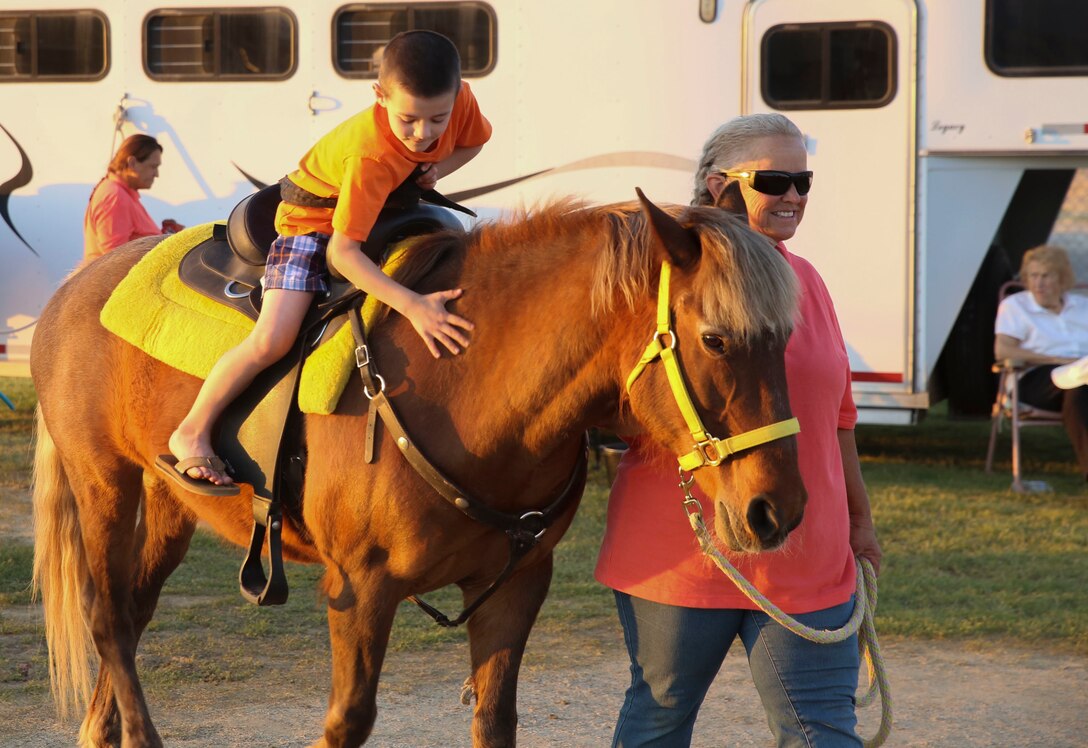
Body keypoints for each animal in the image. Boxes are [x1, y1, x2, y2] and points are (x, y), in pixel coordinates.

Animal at [29, 194, 809, 748]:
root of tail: (76, 283)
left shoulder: (515, 588)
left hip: (169, 499)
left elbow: (495, 720)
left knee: (133, 610)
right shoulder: (359, 591)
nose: (779, 509)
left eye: (786, 339)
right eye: (715, 338)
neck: (468, 389)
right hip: (103, 481)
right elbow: (347, 721)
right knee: (106, 614)